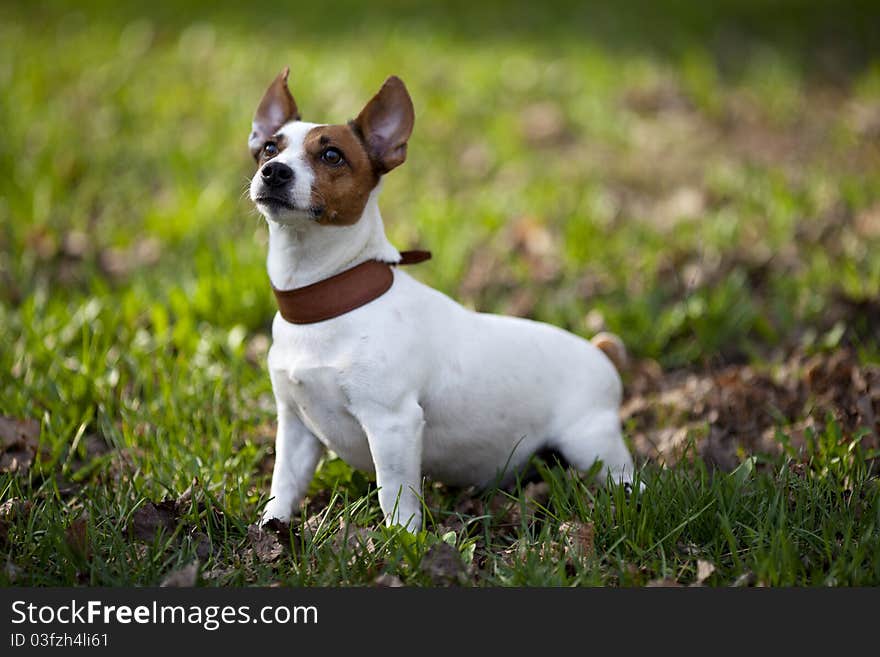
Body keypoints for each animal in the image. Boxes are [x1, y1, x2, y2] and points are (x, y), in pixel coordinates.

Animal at [248, 68, 632, 528]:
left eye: (332, 156)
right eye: (269, 148)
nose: (273, 172)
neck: (324, 302)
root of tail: (600, 352)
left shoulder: (393, 424)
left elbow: (394, 495)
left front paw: (402, 538)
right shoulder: (295, 426)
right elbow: (284, 483)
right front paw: (271, 526)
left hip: (592, 445)